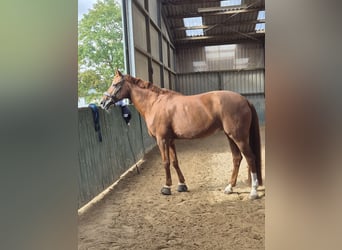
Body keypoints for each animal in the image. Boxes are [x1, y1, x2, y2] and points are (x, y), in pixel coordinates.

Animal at [100, 70, 264, 199]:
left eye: (115, 84)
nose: (103, 102)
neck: (154, 104)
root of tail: (245, 99)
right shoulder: (170, 140)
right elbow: (175, 162)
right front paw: (181, 185)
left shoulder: (162, 140)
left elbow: (166, 162)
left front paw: (166, 187)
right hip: (230, 136)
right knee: (237, 158)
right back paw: (229, 188)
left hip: (239, 137)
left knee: (250, 158)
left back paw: (253, 192)